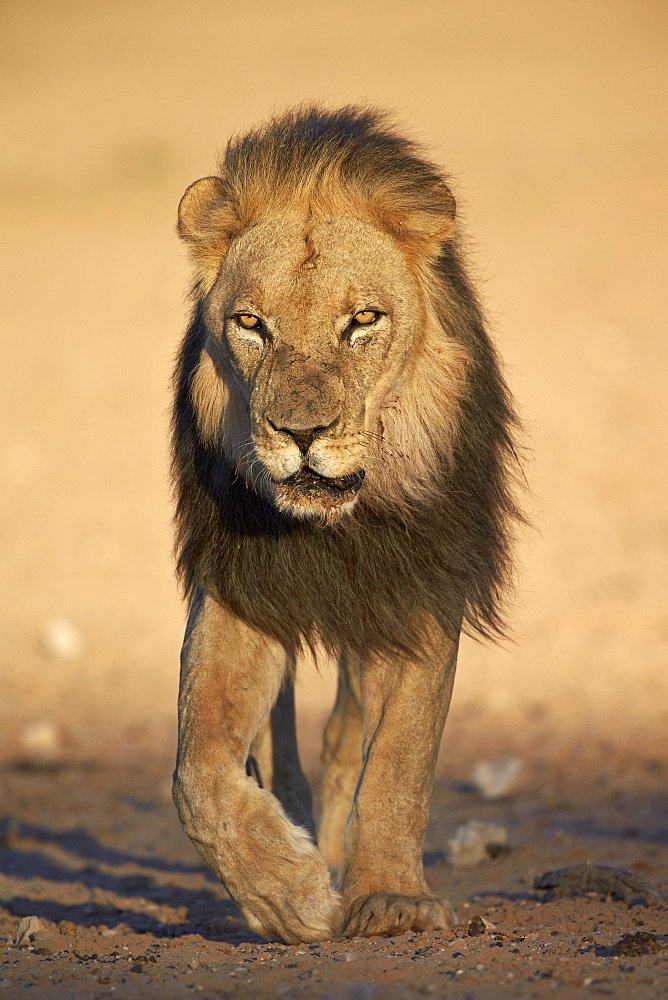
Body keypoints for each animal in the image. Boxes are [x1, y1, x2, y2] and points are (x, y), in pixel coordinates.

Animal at [170, 107, 520, 944]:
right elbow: (198, 771)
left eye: (362, 321)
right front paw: (286, 895)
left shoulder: (419, 585)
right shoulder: (239, 583)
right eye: (251, 324)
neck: (334, 525)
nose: (301, 433)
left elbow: (397, 758)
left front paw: (390, 898)